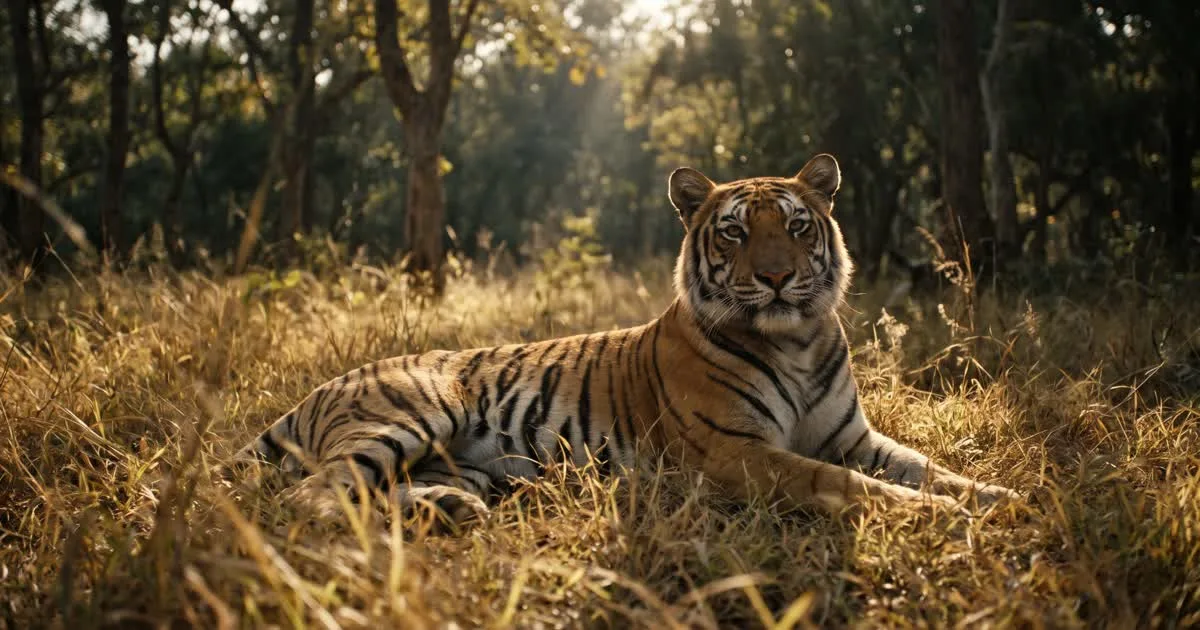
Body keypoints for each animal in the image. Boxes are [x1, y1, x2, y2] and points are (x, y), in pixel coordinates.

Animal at [222, 153, 1018, 525]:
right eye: (735, 232)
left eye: (797, 226)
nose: (777, 278)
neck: (795, 342)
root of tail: (314, 392)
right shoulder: (736, 452)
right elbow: (842, 484)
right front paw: (942, 517)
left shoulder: (851, 436)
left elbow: (927, 466)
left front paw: (999, 496)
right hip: (410, 415)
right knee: (314, 498)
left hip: (467, 463)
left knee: (377, 492)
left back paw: (448, 511)